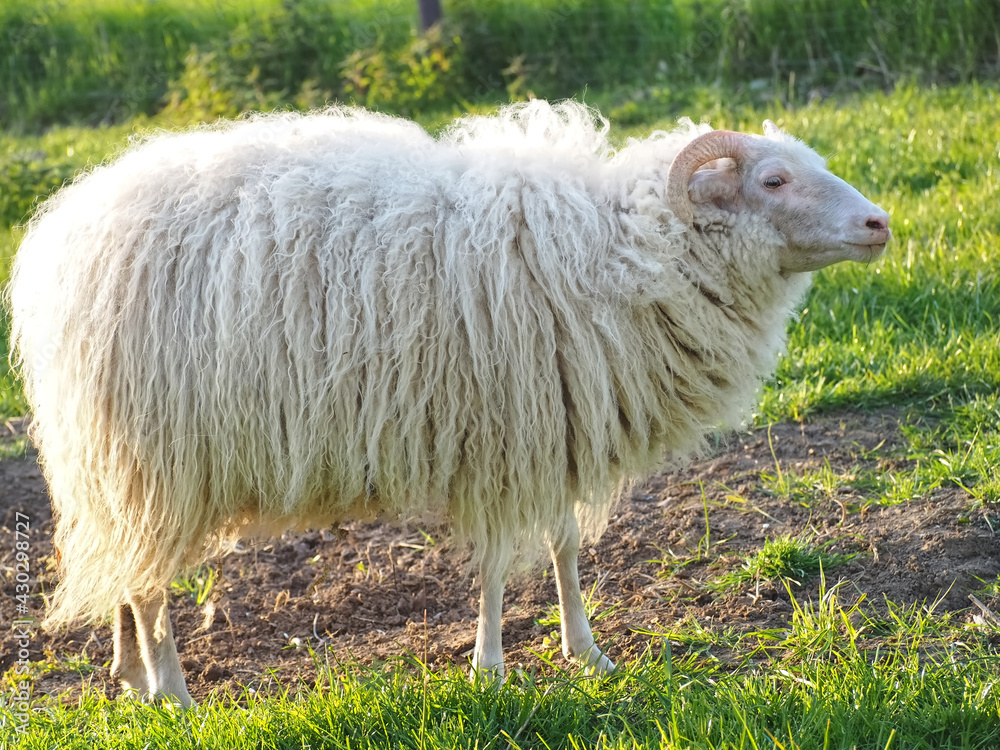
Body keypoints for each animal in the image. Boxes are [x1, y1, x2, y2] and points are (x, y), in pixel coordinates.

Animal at [8, 101, 890, 706]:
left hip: (116, 461)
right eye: (773, 180)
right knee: (151, 584)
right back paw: (174, 692)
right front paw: (490, 668)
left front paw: (587, 651)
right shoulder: (506, 435)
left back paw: (130, 675)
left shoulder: (553, 423)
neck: (626, 254)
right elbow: (499, 565)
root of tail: (63, 237)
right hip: (155, 454)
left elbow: (567, 545)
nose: (880, 223)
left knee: (128, 573)